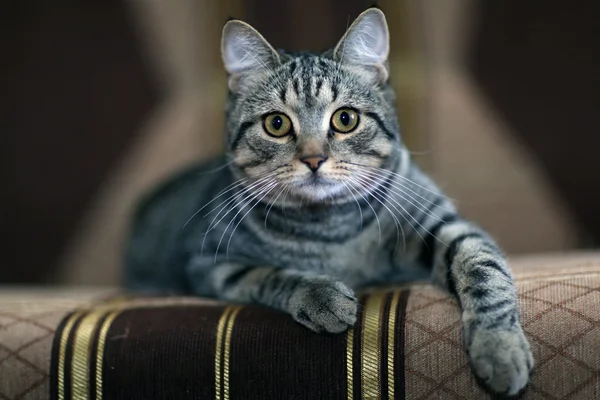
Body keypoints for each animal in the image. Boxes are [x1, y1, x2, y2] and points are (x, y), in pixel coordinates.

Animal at [123, 7, 536, 396]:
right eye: (276, 124)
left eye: (345, 119)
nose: (313, 159)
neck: (331, 229)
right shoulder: (211, 261)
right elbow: (270, 274)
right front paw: (322, 296)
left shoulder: (445, 225)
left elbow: (483, 268)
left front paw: (499, 348)